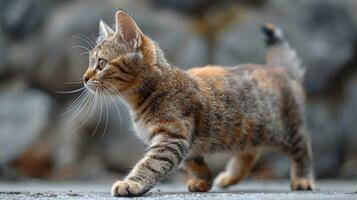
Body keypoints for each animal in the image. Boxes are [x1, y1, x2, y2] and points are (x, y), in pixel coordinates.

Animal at [82, 10, 314, 196]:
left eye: (101, 64)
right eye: (90, 62)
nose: (84, 77)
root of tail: (281, 69)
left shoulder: (172, 138)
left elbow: (151, 164)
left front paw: (132, 183)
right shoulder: (184, 141)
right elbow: (193, 161)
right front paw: (204, 179)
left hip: (286, 129)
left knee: (303, 148)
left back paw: (302, 178)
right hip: (249, 132)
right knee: (249, 152)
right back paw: (230, 176)